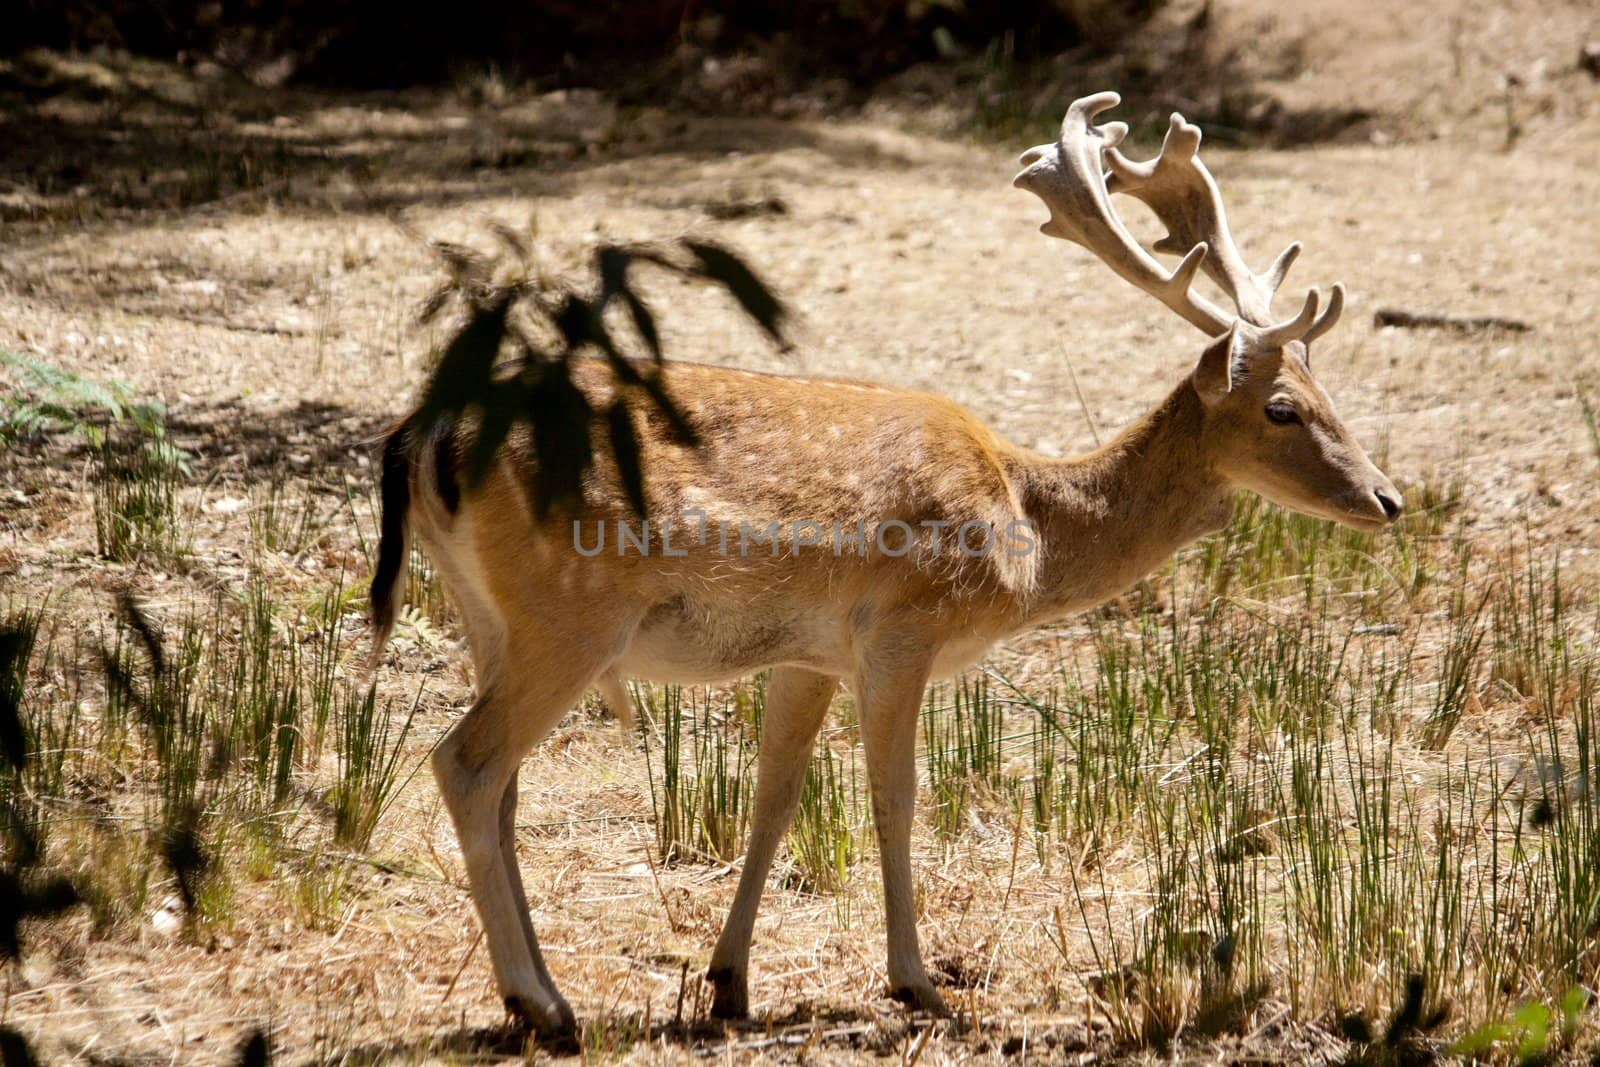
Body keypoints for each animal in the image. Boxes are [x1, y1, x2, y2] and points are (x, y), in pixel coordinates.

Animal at [366, 93, 1401, 1043]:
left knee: (502, 785)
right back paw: (540, 1004)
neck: (1026, 528)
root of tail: (422, 433)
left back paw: (542, 990)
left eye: (1329, 393)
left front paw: (730, 982)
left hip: (488, 617)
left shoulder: (806, 654)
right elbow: (896, 798)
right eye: (1280, 408)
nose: (1388, 499)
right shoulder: (903, 628)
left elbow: (774, 799)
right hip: (569, 614)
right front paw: (918, 984)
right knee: (466, 762)